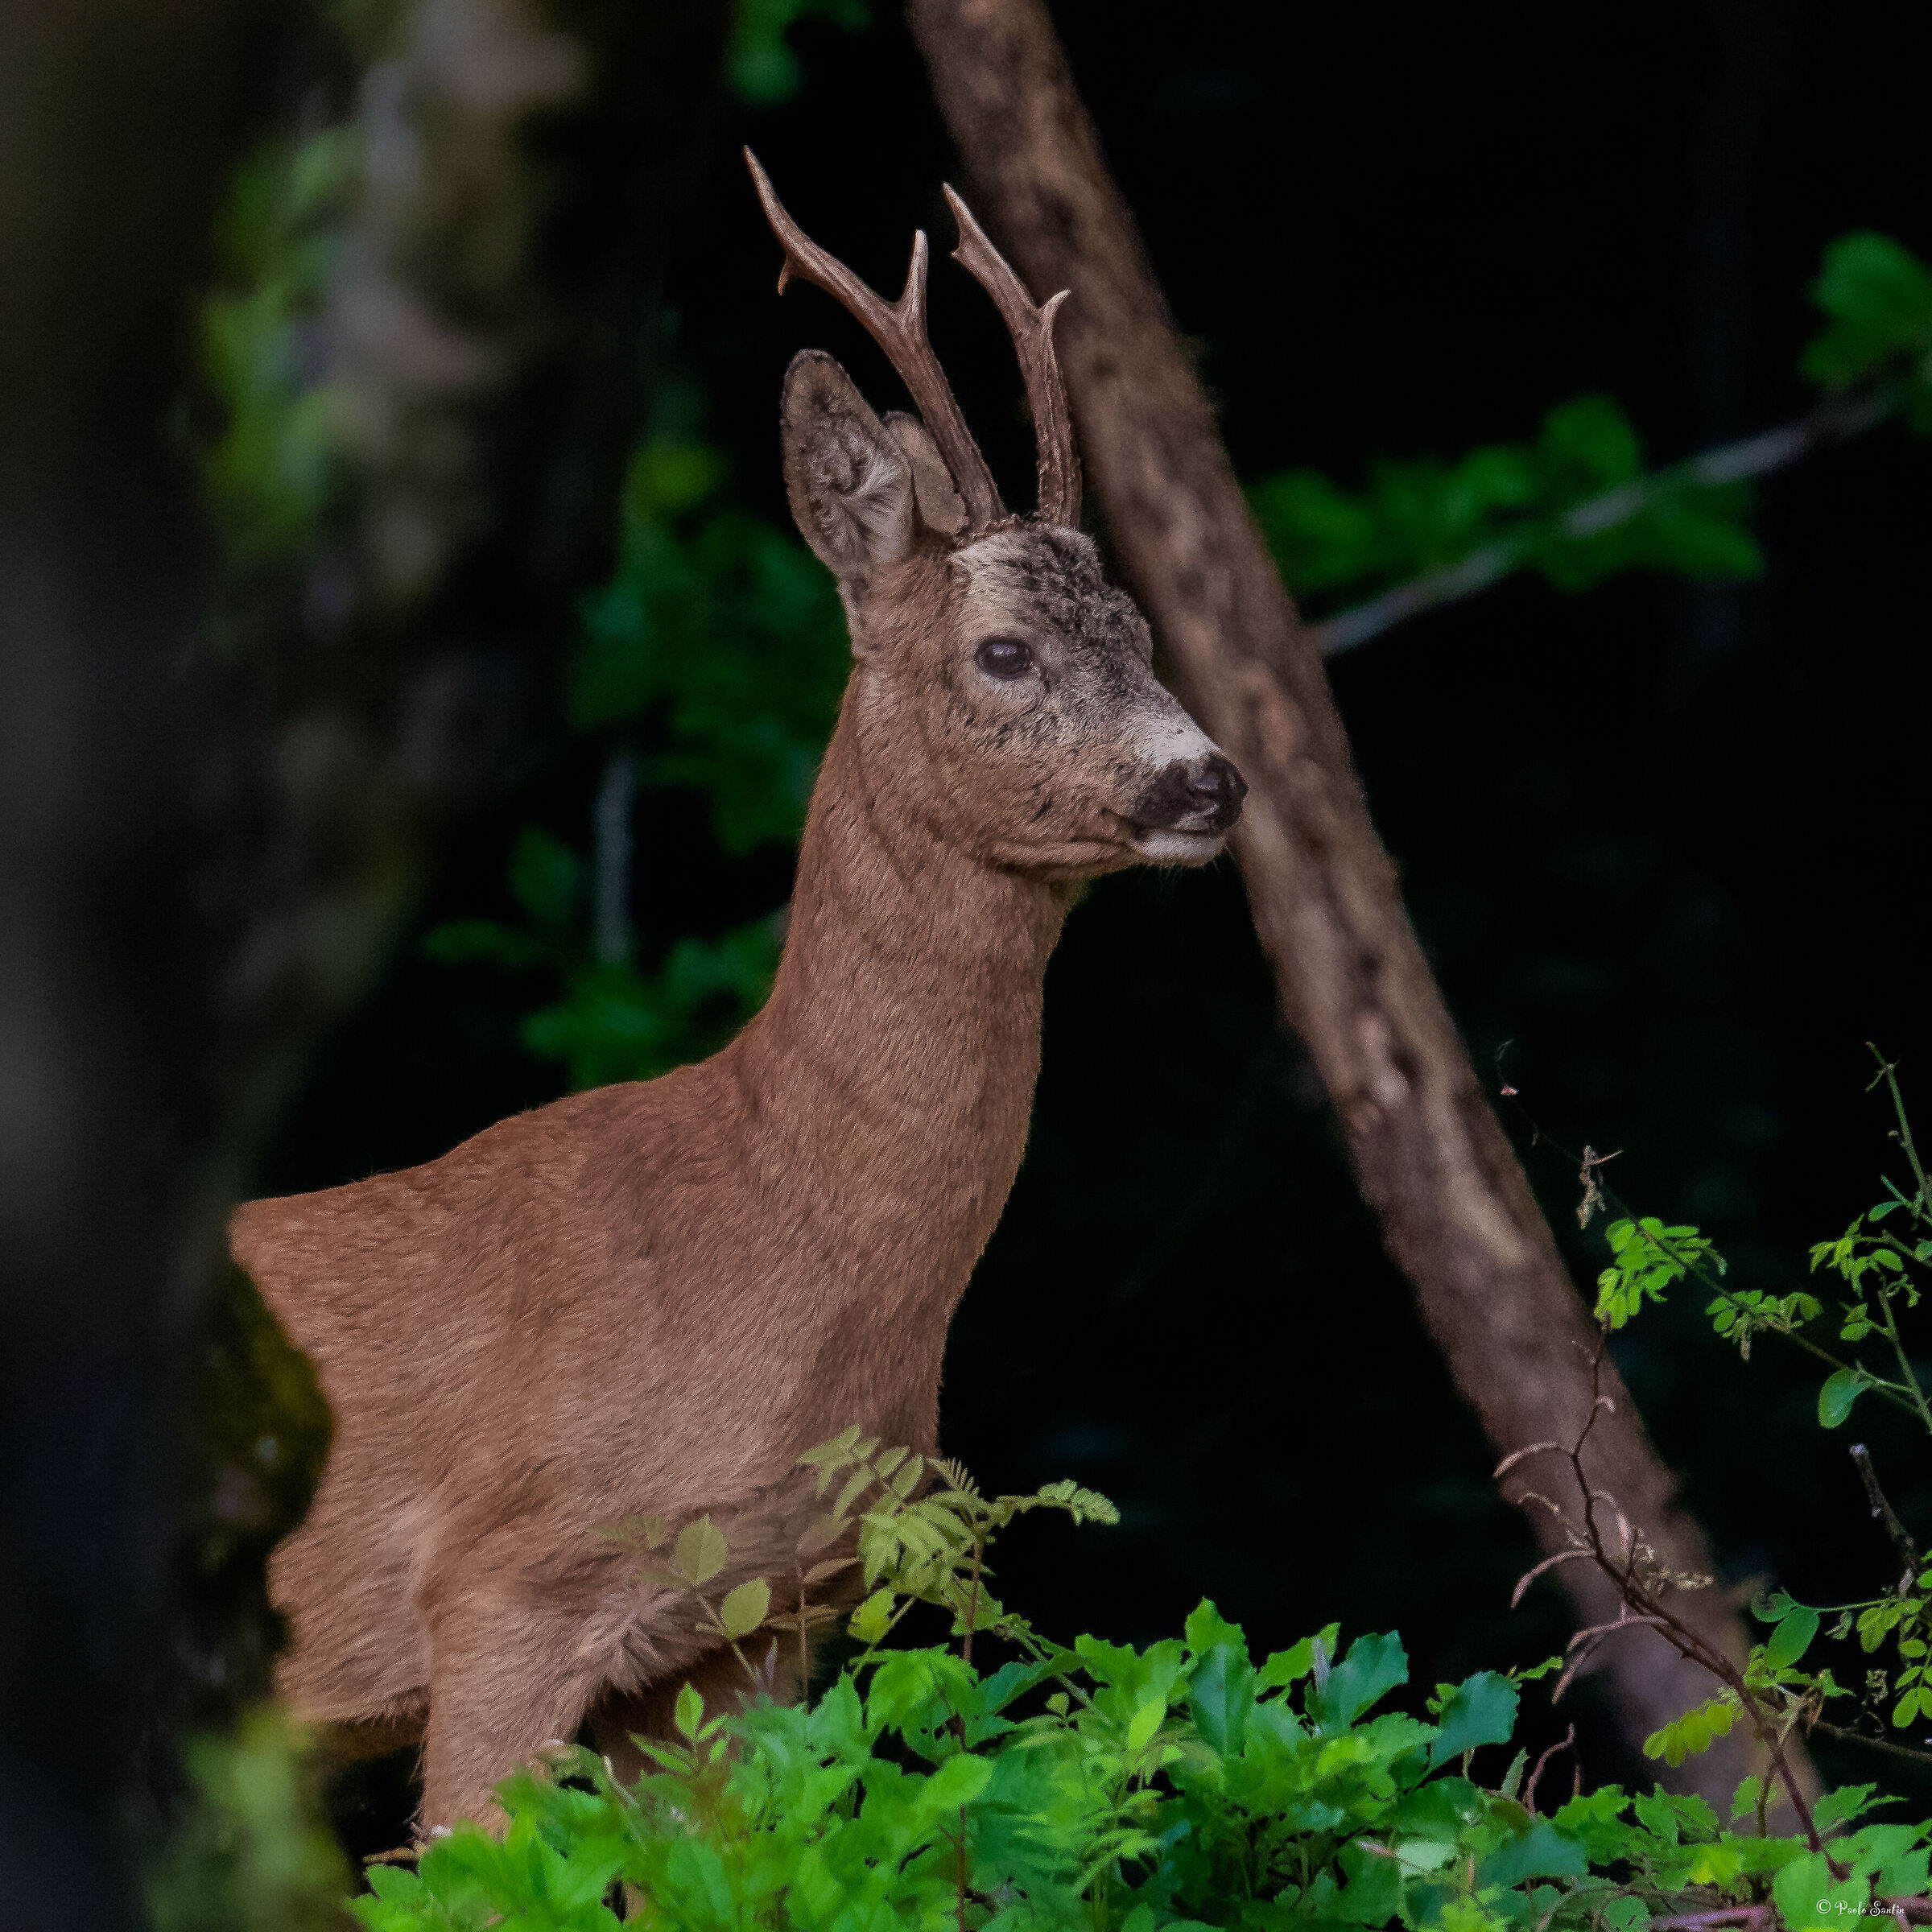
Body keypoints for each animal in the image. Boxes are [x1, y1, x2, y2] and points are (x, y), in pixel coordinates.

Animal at [229, 151, 1246, 1836]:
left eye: (1147, 633)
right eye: (1003, 650)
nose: (1210, 778)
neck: (780, 1232)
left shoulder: (760, 1621)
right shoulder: (500, 1586)